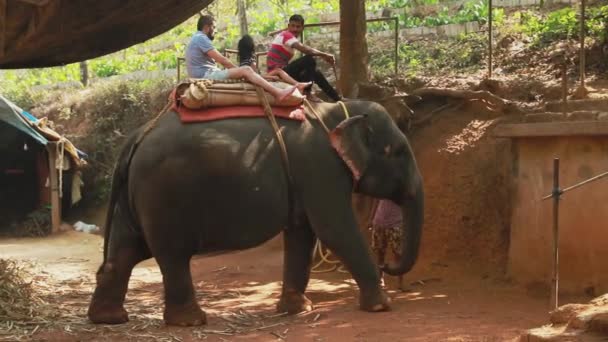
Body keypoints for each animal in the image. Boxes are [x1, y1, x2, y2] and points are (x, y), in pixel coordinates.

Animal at [88, 99, 426, 326]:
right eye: (399, 152)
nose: (388, 266)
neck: (338, 109)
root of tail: (135, 138)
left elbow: (302, 233)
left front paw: (296, 309)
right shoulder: (320, 167)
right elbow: (334, 229)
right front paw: (382, 306)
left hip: (135, 198)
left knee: (124, 252)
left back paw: (109, 318)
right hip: (163, 197)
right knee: (172, 256)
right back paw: (190, 321)